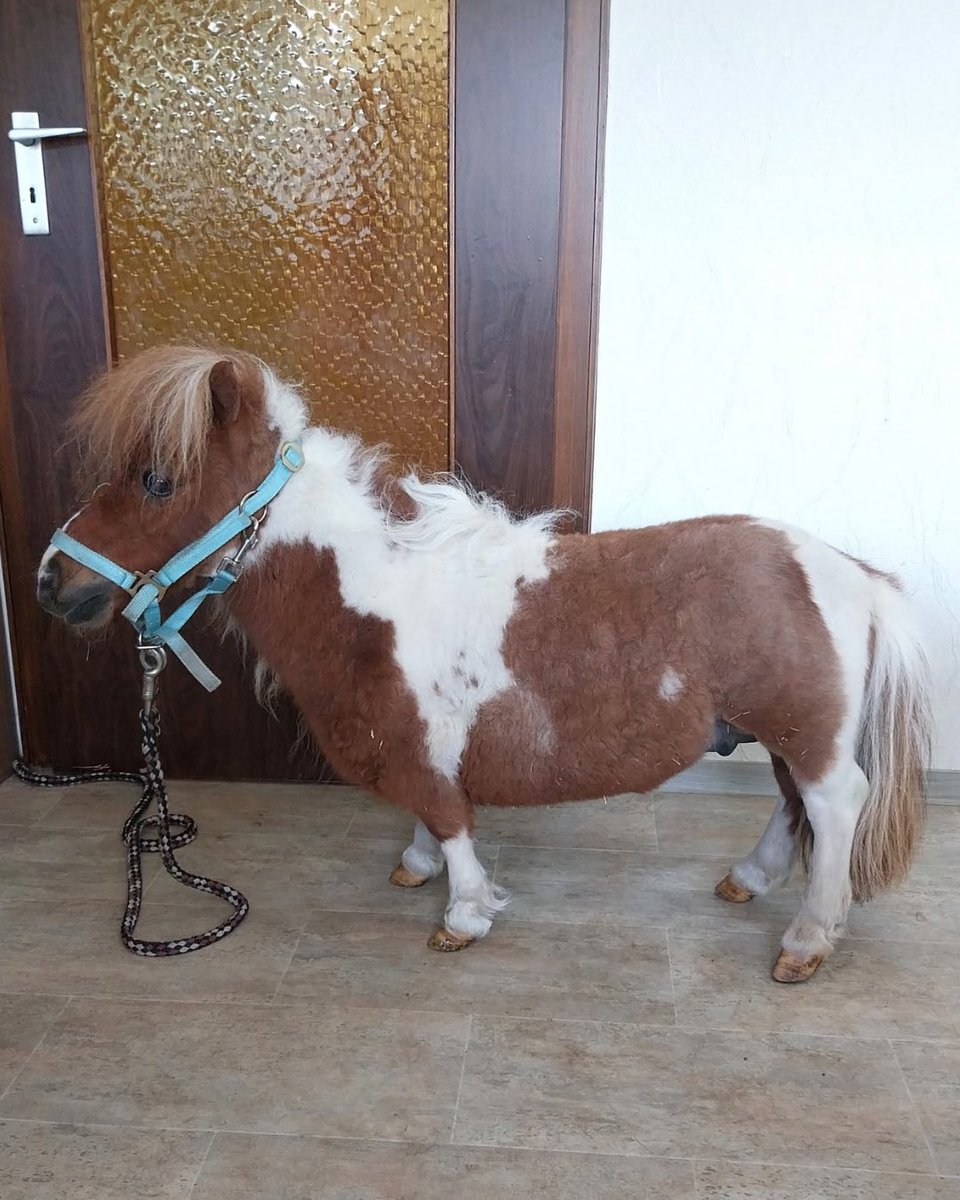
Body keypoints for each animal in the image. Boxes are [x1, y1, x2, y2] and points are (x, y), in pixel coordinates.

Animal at [37, 345, 933, 982]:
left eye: (157, 481)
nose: (52, 583)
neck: (367, 598)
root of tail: (849, 572)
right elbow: (427, 817)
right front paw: (417, 868)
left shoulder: (423, 752)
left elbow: (449, 818)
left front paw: (462, 914)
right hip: (777, 732)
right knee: (791, 807)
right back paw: (749, 877)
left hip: (806, 733)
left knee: (833, 807)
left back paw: (807, 940)